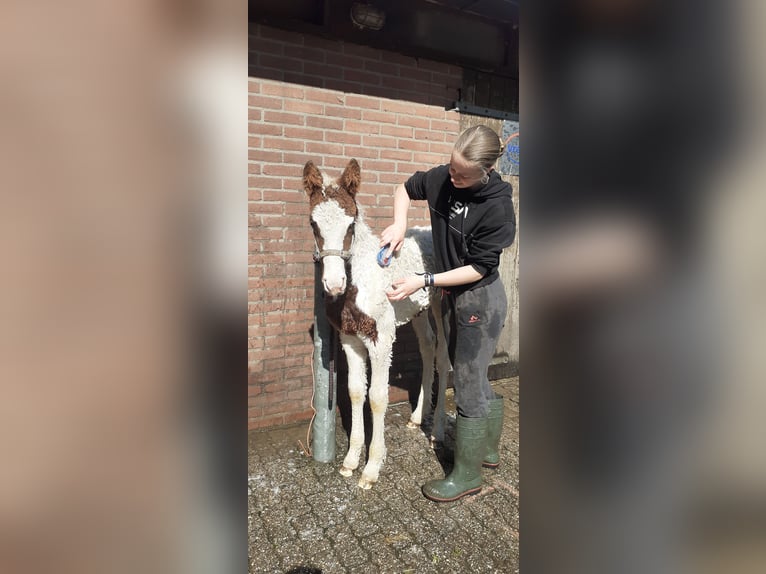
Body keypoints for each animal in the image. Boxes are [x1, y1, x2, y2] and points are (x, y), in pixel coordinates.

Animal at [303, 158, 450, 489]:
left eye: (351, 224)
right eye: (313, 224)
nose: (334, 284)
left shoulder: (381, 338)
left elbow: (377, 398)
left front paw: (371, 468)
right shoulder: (349, 339)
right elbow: (356, 391)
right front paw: (350, 460)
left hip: (440, 305)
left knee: (444, 356)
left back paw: (437, 431)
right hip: (418, 311)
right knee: (428, 346)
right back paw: (418, 417)